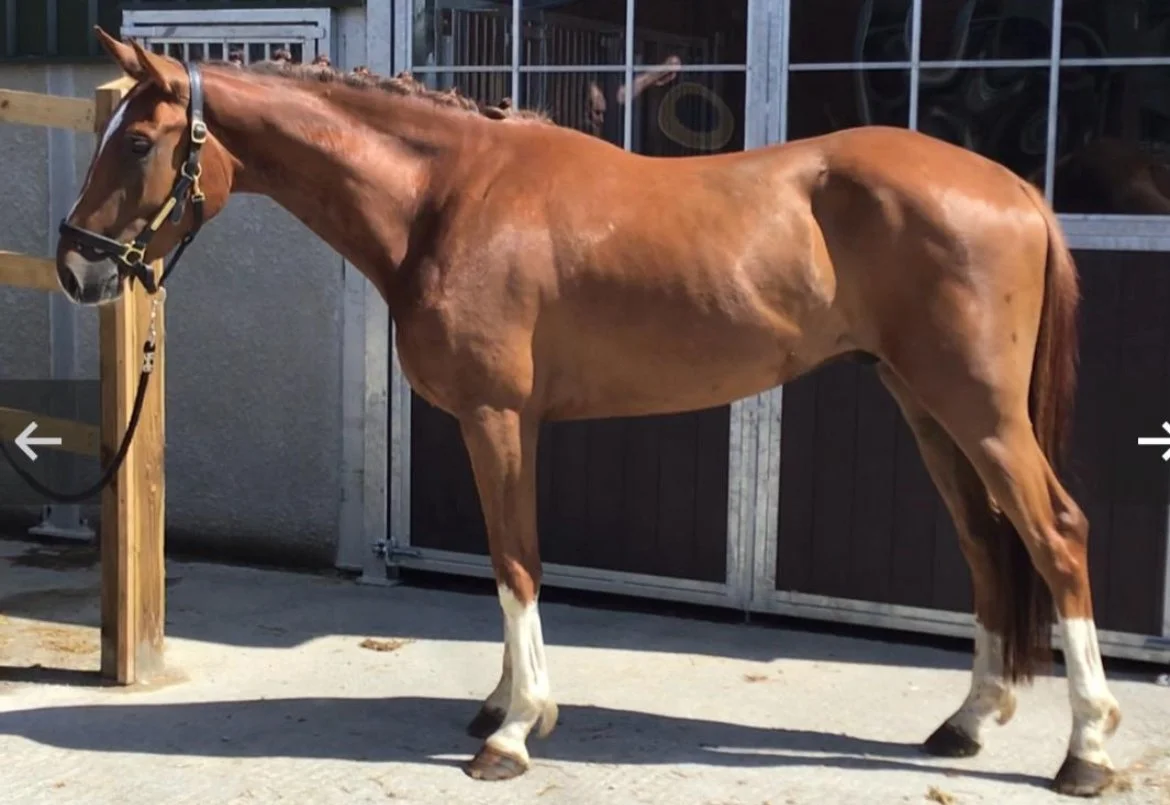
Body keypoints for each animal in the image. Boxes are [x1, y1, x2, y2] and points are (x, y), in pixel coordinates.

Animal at [58, 27, 1122, 797]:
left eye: (141, 142)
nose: (74, 268)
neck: (447, 197)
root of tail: (1014, 185)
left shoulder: (497, 416)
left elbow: (517, 564)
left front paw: (515, 731)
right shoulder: (505, 423)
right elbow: (509, 562)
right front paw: (502, 704)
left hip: (980, 411)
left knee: (1058, 533)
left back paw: (1089, 751)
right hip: (927, 406)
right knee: (986, 544)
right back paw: (968, 722)